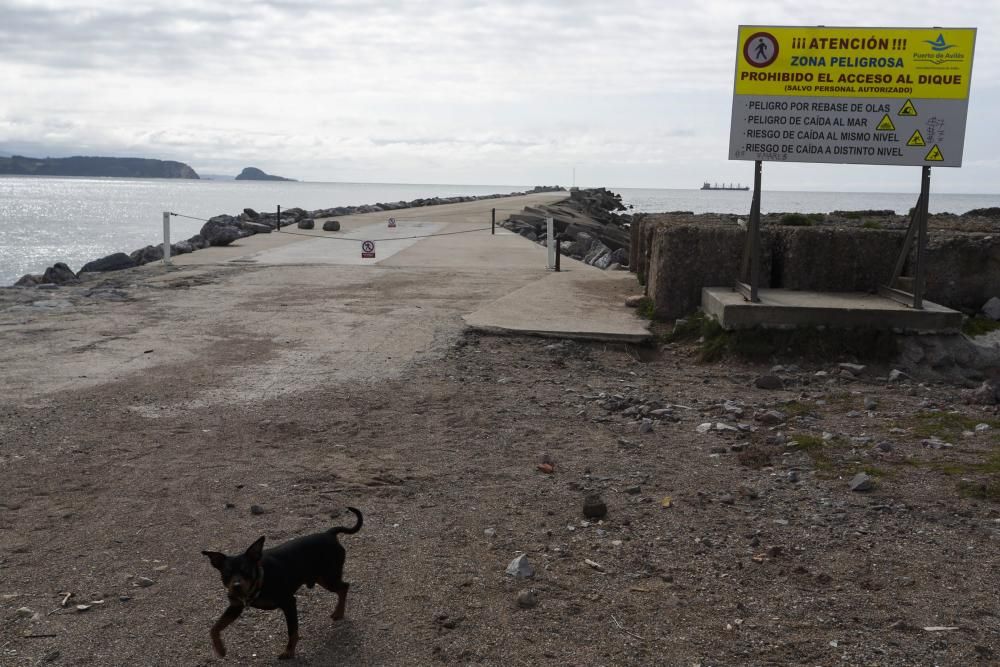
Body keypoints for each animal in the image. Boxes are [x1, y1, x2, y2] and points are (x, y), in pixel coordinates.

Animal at [201, 508, 362, 660]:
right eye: (226, 573)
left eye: (246, 570)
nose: (236, 586)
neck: (261, 581)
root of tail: (329, 533)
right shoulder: (235, 606)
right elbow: (214, 628)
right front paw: (220, 649)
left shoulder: (289, 603)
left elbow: (292, 631)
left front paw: (289, 652)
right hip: (321, 578)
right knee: (343, 587)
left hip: (328, 578)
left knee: (344, 587)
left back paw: (339, 612)